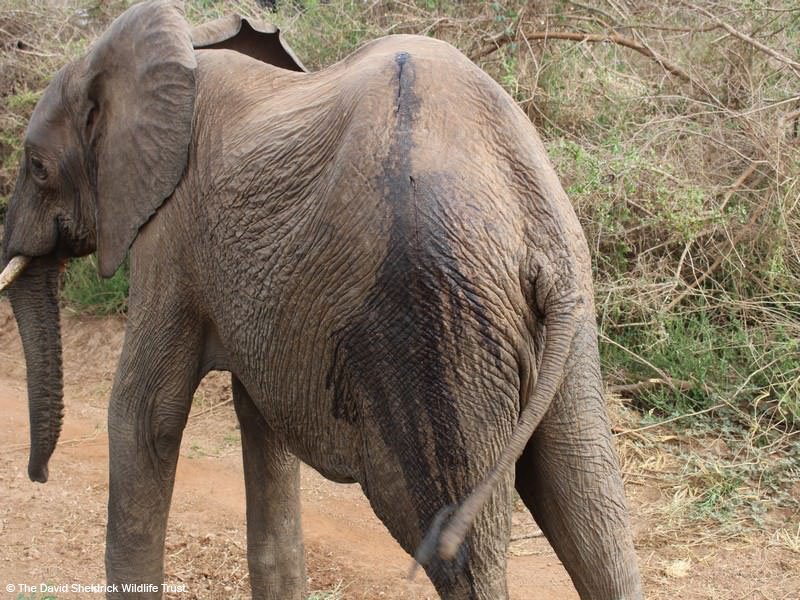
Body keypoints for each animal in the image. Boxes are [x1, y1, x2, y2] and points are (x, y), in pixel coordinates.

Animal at [0, 1, 643, 599]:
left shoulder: (171, 232)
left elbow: (145, 413)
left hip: (435, 322)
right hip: (560, 307)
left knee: (462, 554)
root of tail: (526, 213)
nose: (38, 475)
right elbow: (259, 426)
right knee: (592, 510)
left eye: (37, 167)